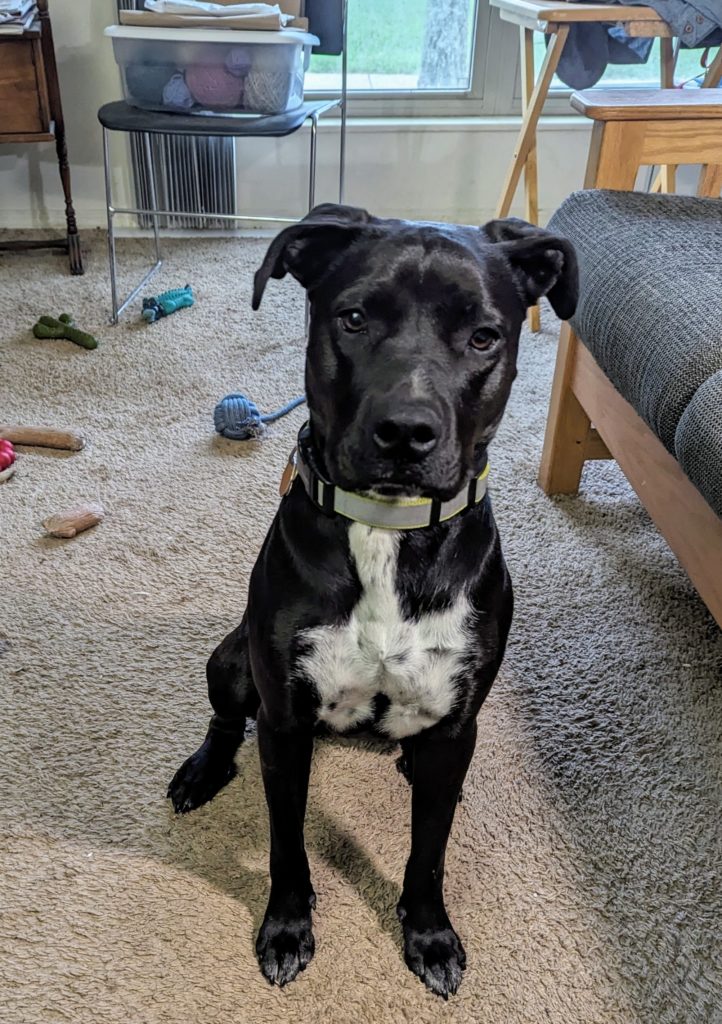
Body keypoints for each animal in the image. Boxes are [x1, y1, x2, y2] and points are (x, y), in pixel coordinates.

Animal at [167, 201, 573, 999]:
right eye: (352, 318)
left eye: (484, 336)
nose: (406, 432)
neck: (388, 529)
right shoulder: (284, 722)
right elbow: (286, 843)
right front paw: (286, 928)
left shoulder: (457, 723)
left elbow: (430, 851)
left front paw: (430, 934)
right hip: (231, 659)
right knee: (226, 718)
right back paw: (202, 769)